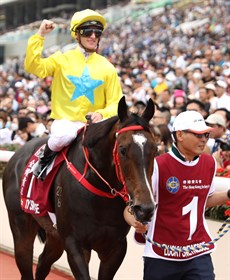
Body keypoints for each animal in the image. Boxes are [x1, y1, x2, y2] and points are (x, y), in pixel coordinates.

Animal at [2, 97, 158, 280]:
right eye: (123, 150)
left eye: (155, 149)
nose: (145, 208)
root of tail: (16, 155)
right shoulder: (75, 244)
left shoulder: (116, 247)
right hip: (21, 223)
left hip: (55, 236)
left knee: (42, 263)